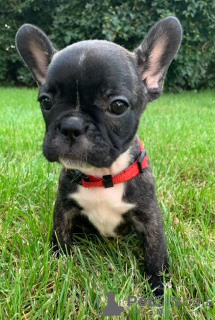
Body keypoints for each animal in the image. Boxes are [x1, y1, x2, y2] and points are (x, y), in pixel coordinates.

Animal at [15, 17, 182, 296]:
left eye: (118, 106)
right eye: (45, 101)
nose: (71, 125)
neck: (102, 176)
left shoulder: (150, 217)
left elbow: (155, 253)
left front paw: (159, 289)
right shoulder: (64, 208)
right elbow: (60, 238)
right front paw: (57, 267)